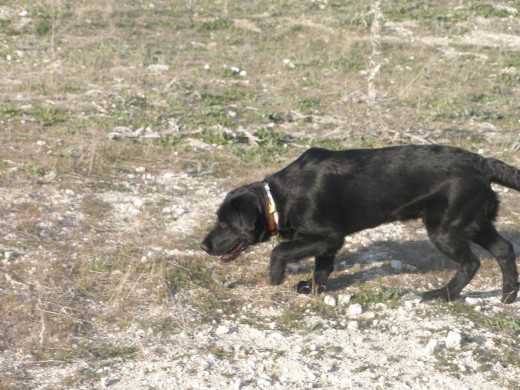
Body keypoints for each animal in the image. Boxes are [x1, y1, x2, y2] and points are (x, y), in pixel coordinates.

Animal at [202, 145, 520, 304]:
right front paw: (313, 289)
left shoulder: (329, 235)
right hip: (473, 222)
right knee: (504, 249)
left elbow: (279, 251)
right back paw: (508, 295)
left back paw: (443, 295)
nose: (203, 245)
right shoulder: (325, 240)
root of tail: (484, 163)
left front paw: (276, 275)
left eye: (225, 222)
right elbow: (322, 267)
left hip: (445, 229)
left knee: (471, 263)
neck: (279, 199)